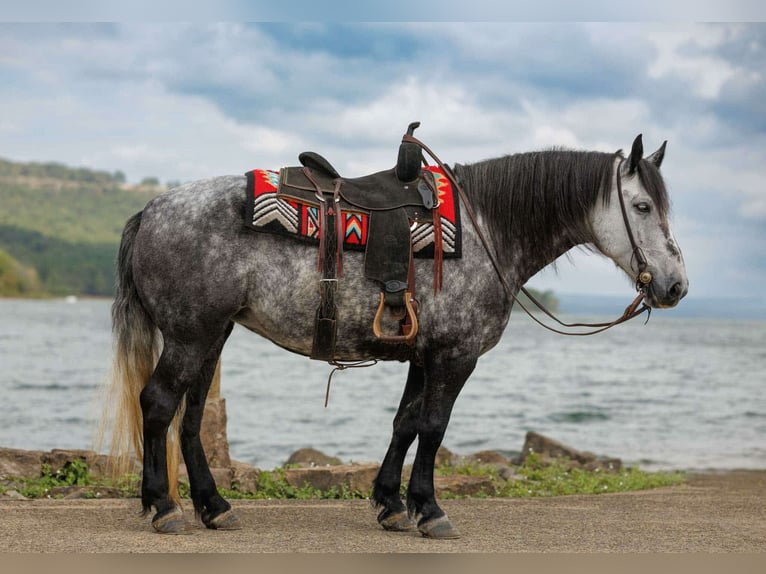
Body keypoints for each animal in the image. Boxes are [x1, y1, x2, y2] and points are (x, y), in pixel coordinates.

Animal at [107, 131, 688, 538]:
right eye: (642, 207)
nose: (675, 285)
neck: (487, 229)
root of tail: (152, 209)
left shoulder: (422, 355)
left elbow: (404, 424)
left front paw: (390, 504)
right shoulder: (455, 356)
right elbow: (433, 427)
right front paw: (429, 510)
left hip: (212, 335)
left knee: (191, 418)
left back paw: (213, 507)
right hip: (191, 336)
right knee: (158, 404)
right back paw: (164, 507)